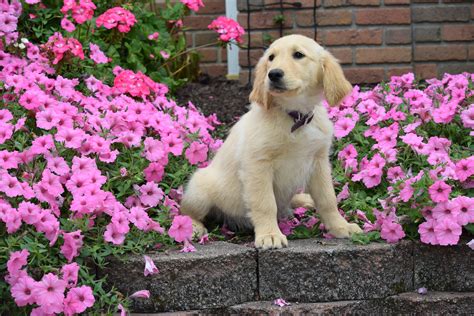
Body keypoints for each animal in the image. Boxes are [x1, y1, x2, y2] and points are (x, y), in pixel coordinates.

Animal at [181, 33, 362, 248]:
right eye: (271, 58)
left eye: (298, 54)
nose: (273, 74)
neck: (295, 117)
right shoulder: (258, 165)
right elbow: (265, 203)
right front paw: (269, 235)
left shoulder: (319, 162)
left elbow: (328, 199)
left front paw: (341, 226)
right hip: (200, 190)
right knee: (184, 211)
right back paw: (193, 227)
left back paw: (304, 200)